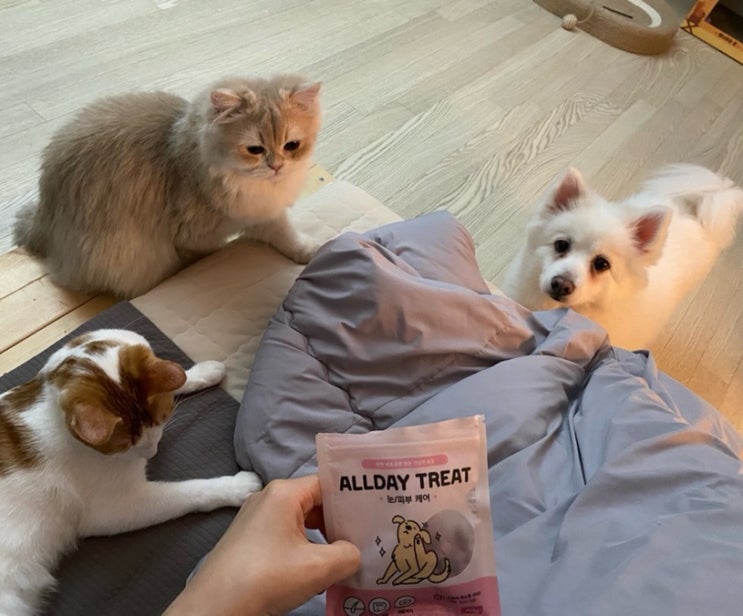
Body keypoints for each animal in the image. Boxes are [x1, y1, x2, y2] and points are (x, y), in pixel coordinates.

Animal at [0, 329, 262, 616]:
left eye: (161, 419)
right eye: (125, 444)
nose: (151, 451)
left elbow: (176, 375)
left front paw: (202, 371)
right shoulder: (117, 506)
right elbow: (188, 492)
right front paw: (237, 487)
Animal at [13, 74, 322, 299]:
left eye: (291, 145)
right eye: (255, 149)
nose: (276, 166)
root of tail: (42, 219)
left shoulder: (259, 213)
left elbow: (285, 234)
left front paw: (310, 252)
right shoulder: (193, 236)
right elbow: (203, 254)